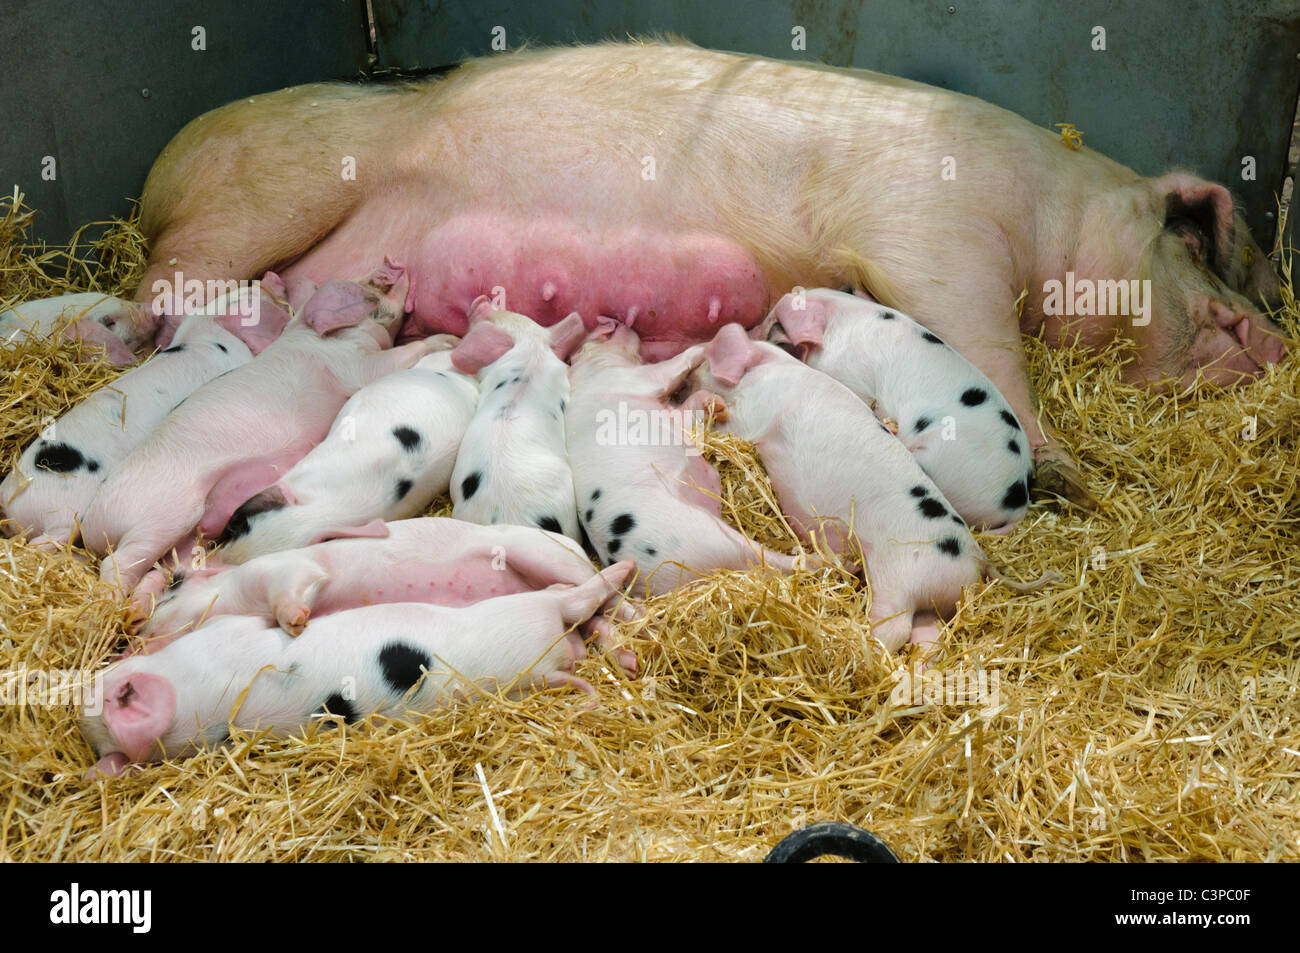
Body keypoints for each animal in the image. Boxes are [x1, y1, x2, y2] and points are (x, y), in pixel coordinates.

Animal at [126, 40, 1284, 501]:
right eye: (1194, 250)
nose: (1270, 337)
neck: (1051, 215)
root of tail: (159, 171)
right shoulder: (934, 231)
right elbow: (988, 345)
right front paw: (1058, 463)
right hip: (257, 196)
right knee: (169, 280)